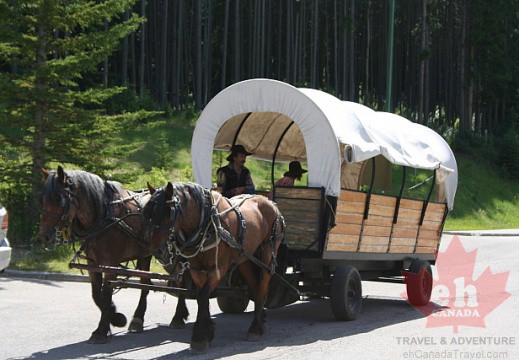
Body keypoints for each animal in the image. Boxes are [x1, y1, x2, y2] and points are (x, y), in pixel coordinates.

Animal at [38, 167, 190, 344]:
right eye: (43, 200)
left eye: (59, 199)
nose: (44, 236)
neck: (103, 216)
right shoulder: (93, 265)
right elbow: (96, 295)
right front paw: (115, 317)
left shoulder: (110, 264)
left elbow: (105, 295)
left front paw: (102, 330)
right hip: (146, 253)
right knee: (145, 283)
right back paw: (138, 320)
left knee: (180, 279)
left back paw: (178, 316)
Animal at [142, 183, 284, 352]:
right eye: (149, 214)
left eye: (169, 212)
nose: (157, 250)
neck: (206, 224)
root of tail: (270, 202)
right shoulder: (196, 270)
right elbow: (201, 297)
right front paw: (208, 331)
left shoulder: (217, 270)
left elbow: (203, 296)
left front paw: (199, 337)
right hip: (245, 258)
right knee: (255, 288)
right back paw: (261, 321)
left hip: (268, 255)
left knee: (262, 288)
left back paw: (255, 329)